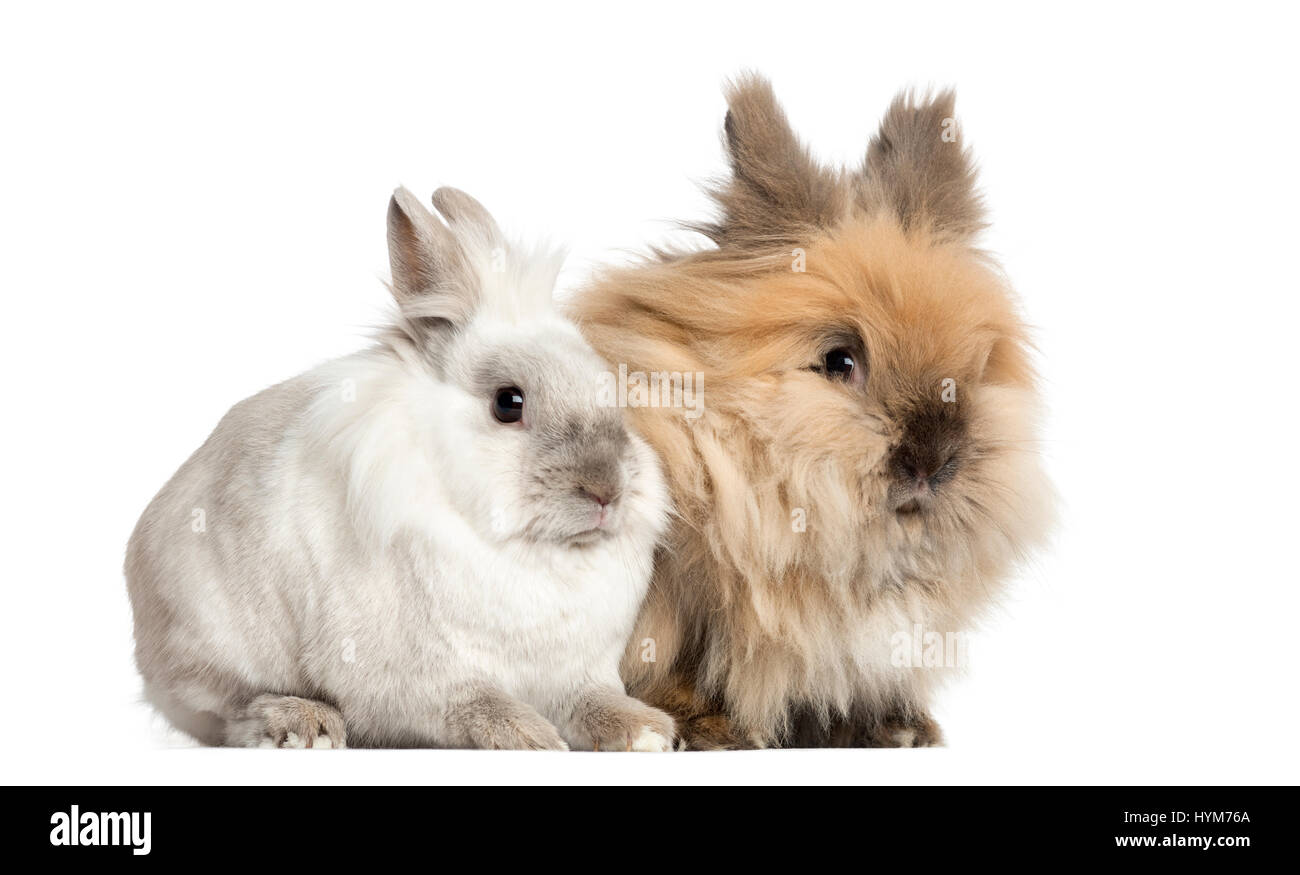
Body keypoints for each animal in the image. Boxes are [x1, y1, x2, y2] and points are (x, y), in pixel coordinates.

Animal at [124, 186, 675, 751]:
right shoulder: (418, 680)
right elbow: (475, 703)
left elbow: (593, 700)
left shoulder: (580, 671)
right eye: (508, 403)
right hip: (217, 638)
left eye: (608, 386)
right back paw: (303, 723)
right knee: (230, 708)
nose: (607, 490)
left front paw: (646, 732)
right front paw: (529, 739)